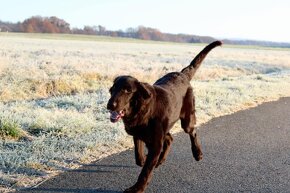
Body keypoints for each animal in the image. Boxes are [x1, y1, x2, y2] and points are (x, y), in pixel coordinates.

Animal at [107, 40, 222, 191]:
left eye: (127, 91)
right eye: (113, 89)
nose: (110, 105)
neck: (142, 109)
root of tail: (182, 74)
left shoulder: (155, 143)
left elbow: (145, 171)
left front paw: (137, 188)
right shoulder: (140, 133)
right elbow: (139, 154)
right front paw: (144, 160)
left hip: (186, 120)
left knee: (192, 131)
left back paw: (197, 153)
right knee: (170, 138)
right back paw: (161, 160)